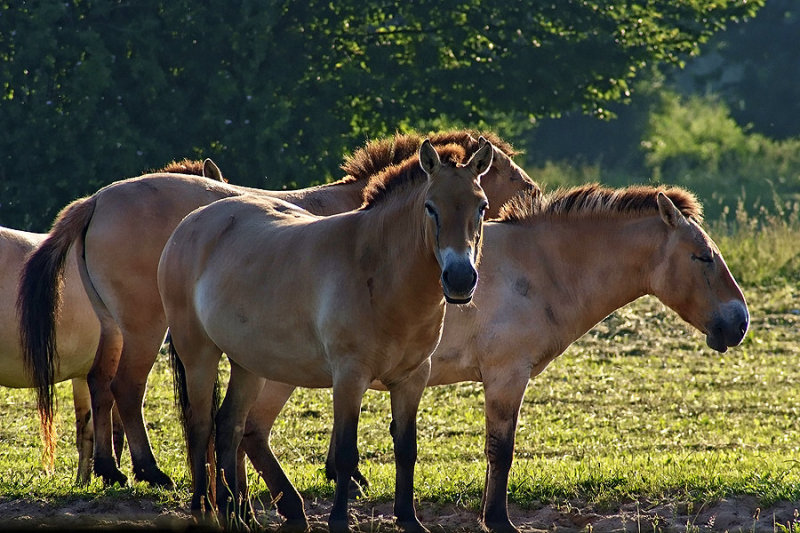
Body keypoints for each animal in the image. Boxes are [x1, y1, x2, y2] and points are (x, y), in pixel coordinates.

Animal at [15, 128, 536, 486]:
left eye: (482, 199)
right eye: (506, 171)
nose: (534, 193)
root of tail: (96, 200)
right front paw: (344, 473)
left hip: (117, 327)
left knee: (100, 384)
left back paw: (108, 468)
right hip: (146, 327)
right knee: (127, 387)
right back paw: (148, 470)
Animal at [158, 139, 494, 528]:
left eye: (481, 206)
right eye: (430, 207)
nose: (460, 279)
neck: (377, 270)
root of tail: (190, 223)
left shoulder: (412, 379)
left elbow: (406, 450)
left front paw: (409, 519)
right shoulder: (349, 376)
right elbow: (347, 453)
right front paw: (338, 521)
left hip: (249, 364)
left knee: (229, 425)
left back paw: (238, 514)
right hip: (198, 354)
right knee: (200, 427)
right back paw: (203, 507)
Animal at [241, 184, 748, 532]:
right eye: (703, 257)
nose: (739, 323)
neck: (540, 267)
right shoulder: (507, 377)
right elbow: (500, 449)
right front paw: (499, 520)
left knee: (247, 435)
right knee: (246, 433)